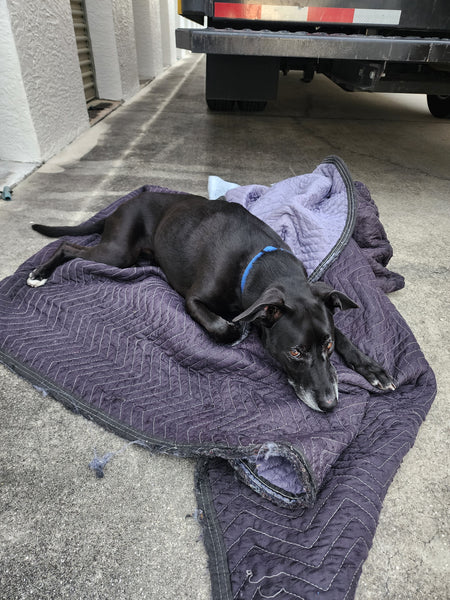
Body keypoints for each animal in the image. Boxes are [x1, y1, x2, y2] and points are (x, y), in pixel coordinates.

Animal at [28, 192, 394, 412]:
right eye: (295, 353)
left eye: (327, 346)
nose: (331, 404)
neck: (258, 262)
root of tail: (126, 201)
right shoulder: (193, 301)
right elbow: (224, 329)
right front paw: (240, 330)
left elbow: (345, 335)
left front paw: (372, 369)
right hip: (117, 252)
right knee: (66, 246)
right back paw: (39, 273)